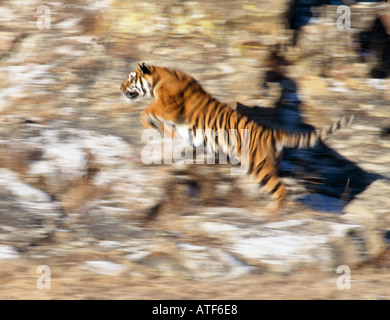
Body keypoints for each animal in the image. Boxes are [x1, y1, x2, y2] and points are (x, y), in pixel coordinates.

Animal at [120, 63, 354, 211]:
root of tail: (274, 131)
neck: (158, 79)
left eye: (130, 78)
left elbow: (147, 111)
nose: (120, 88)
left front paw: (154, 127)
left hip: (258, 167)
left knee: (281, 191)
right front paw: (164, 133)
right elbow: (159, 121)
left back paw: (270, 214)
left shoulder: (170, 107)